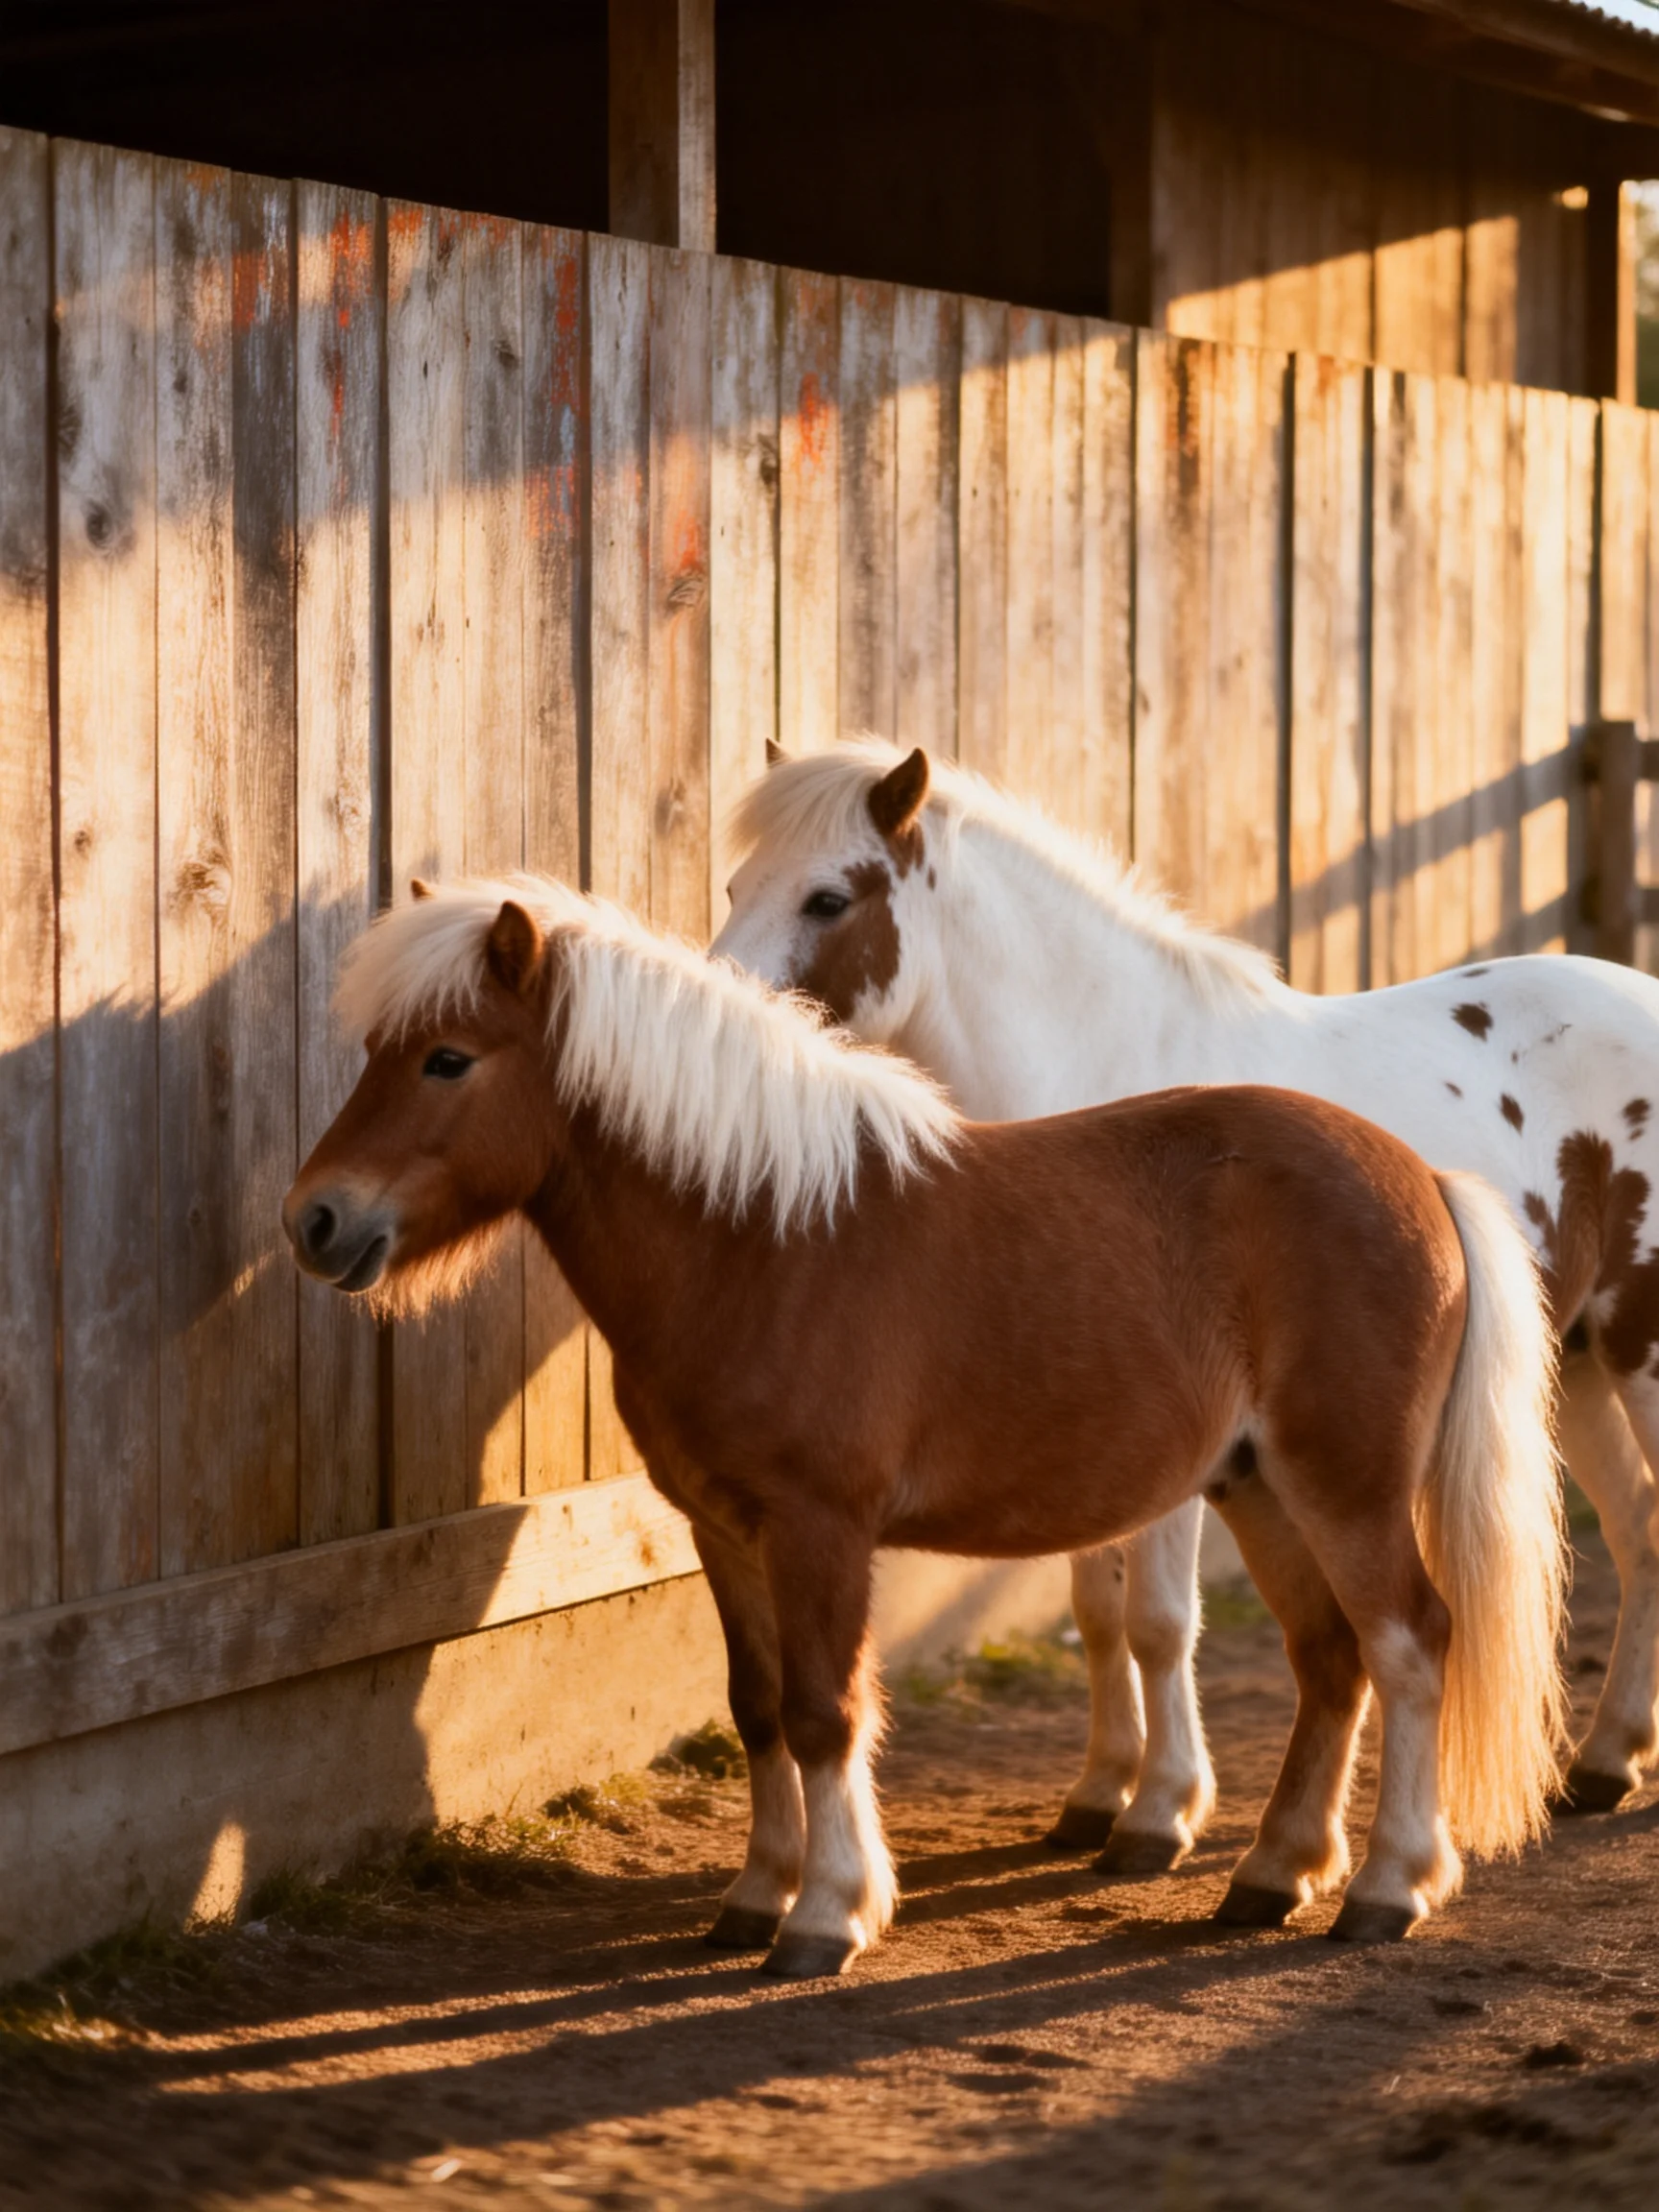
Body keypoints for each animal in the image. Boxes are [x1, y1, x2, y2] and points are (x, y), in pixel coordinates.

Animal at [283, 873, 1566, 1977]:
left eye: (448, 1058)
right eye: (377, 1053)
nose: (315, 1220)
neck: (762, 1237)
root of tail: (1422, 1176)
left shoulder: (821, 1529)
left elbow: (825, 1712)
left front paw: (826, 1916)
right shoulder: (724, 1530)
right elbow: (758, 1710)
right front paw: (755, 1896)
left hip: (1345, 1484)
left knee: (1409, 1643)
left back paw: (1387, 1889)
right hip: (1260, 1486)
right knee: (1330, 1656)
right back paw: (1272, 1873)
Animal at [712, 736, 1659, 1864]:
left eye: (826, 898)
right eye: (736, 885)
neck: (1103, 1071)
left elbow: (1161, 1620)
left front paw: (1160, 1810)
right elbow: (1096, 1608)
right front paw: (1098, 1790)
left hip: (1641, 1351)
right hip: (1583, 1361)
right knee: (1641, 1530)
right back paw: (1608, 1760)